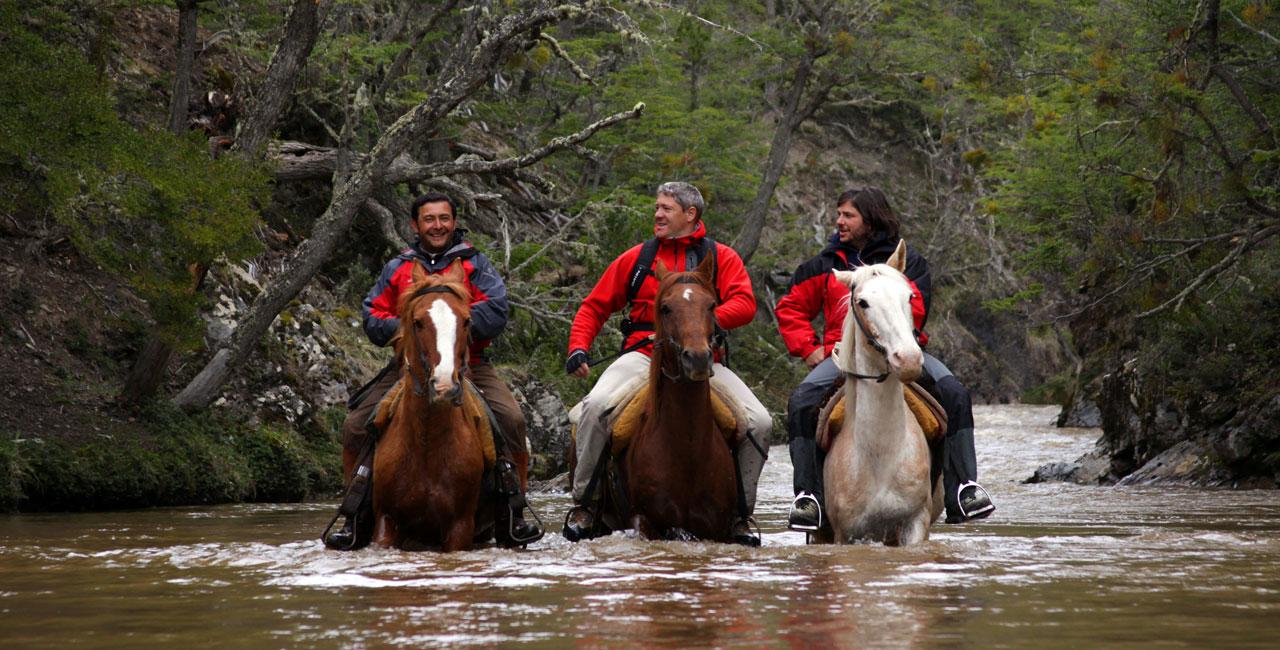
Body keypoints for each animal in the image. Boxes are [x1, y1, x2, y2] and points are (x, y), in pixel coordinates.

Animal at [367, 259, 494, 551]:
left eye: (467, 321)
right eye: (418, 322)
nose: (445, 385)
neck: (426, 440)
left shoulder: (460, 527)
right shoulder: (385, 521)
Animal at [620, 255, 739, 542]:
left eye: (711, 305)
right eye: (665, 308)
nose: (697, 358)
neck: (687, 450)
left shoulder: (717, 528)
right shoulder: (645, 520)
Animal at [821, 239, 943, 545]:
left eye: (910, 297)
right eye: (863, 302)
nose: (908, 359)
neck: (880, 457)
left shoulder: (915, 523)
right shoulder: (845, 533)